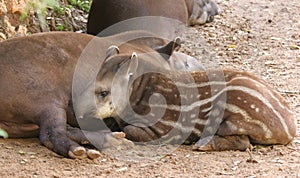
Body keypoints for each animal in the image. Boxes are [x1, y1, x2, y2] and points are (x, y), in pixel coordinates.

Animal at [92, 50, 296, 151]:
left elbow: (130, 130)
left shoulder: (164, 129)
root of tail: (289, 129)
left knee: (242, 141)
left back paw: (203, 144)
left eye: (104, 92)